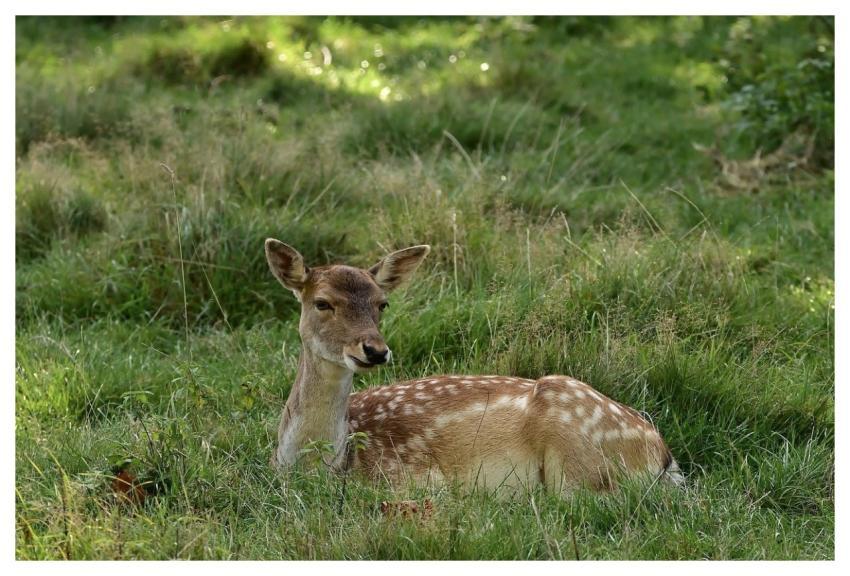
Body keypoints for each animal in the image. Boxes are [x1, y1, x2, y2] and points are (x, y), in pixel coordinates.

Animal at [265, 238, 684, 494]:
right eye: (322, 302)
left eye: (382, 303)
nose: (375, 350)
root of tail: (662, 454)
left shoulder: (413, 479)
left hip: (578, 460)